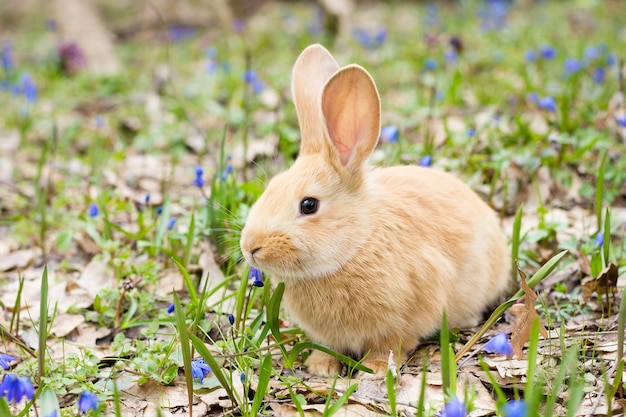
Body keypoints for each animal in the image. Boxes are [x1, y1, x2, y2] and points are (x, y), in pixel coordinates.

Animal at [239, 44, 508, 378]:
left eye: (309, 204)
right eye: (271, 186)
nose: (250, 247)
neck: (356, 244)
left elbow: (391, 345)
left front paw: (376, 367)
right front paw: (321, 366)